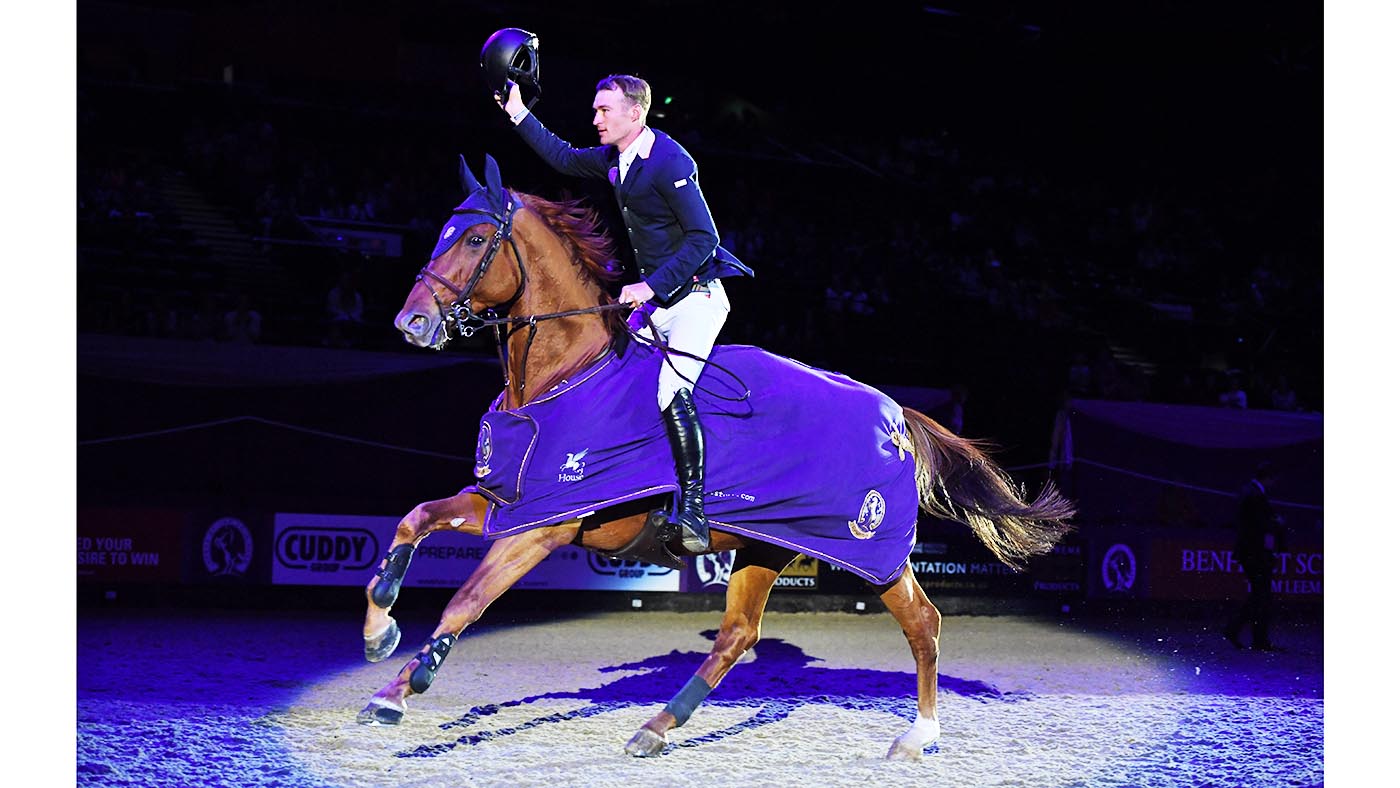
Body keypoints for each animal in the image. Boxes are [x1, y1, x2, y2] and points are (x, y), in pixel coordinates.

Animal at [356, 154, 1075, 760]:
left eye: (476, 240)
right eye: (445, 232)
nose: (410, 324)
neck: (564, 377)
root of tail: (896, 414)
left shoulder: (546, 524)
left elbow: (465, 601)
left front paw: (400, 689)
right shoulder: (508, 501)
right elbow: (415, 520)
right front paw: (379, 635)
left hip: (869, 547)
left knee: (922, 622)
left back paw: (916, 737)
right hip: (766, 544)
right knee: (737, 635)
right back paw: (657, 725)